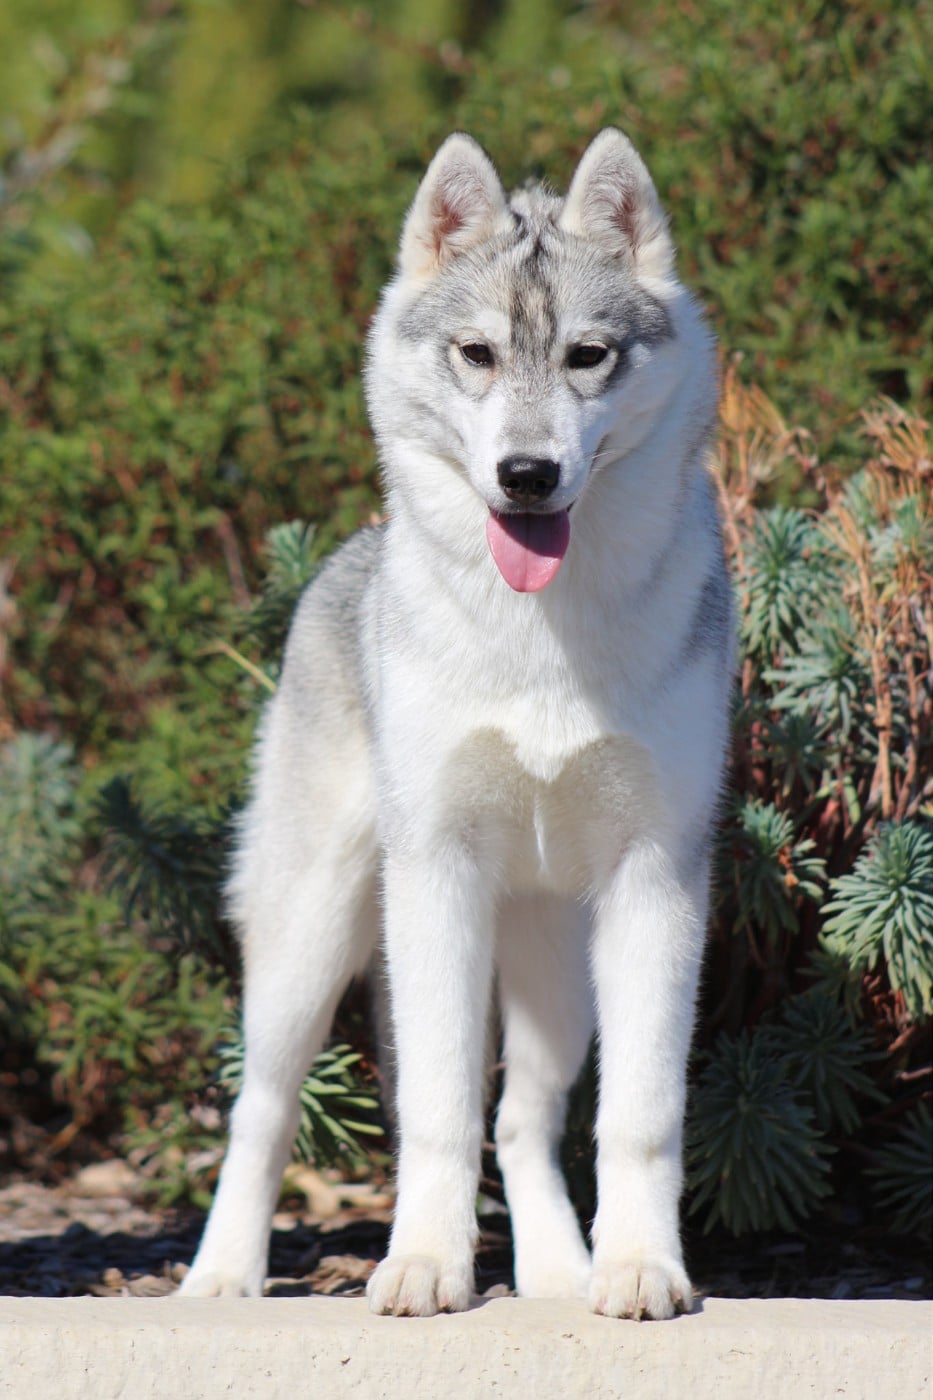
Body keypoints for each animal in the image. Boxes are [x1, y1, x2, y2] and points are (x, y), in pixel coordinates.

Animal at [180, 128, 733, 1320]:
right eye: (476, 354)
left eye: (586, 356)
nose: (527, 474)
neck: (542, 639)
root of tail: (343, 562)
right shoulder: (433, 877)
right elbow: (436, 1112)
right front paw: (426, 1267)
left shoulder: (657, 883)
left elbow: (639, 1118)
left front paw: (639, 1269)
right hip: (312, 942)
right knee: (262, 1110)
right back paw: (221, 1276)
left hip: (557, 976)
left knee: (525, 1121)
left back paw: (560, 1275)